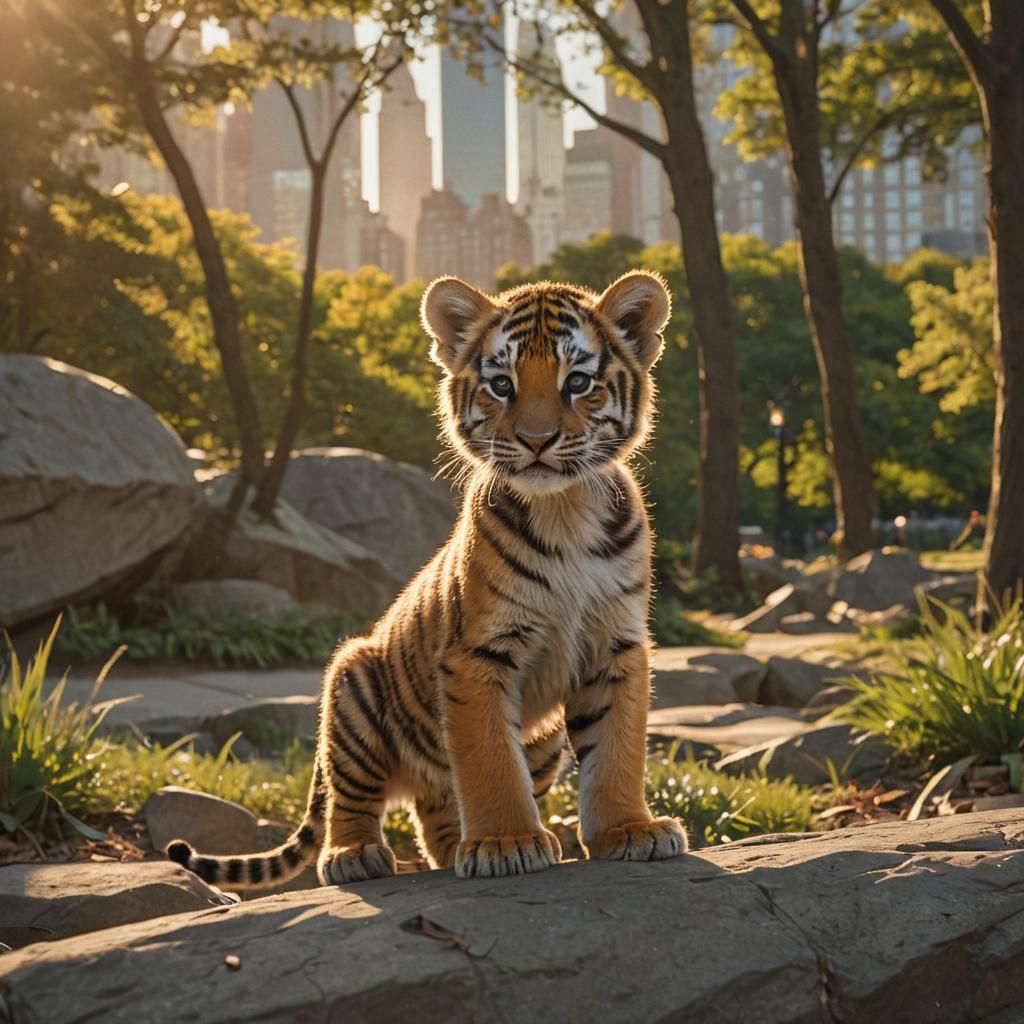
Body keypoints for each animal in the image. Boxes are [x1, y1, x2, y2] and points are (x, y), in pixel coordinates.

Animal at [167, 269, 688, 886]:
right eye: (502, 385)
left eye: (578, 381)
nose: (537, 439)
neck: (565, 509)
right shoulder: (477, 653)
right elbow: (490, 759)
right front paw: (506, 841)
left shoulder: (616, 647)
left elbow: (616, 750)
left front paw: (629, 830)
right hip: (353, 684)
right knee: (352, 797)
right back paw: (354, 855)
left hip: (540, 744)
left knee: (439, 810)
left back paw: (463, 844)